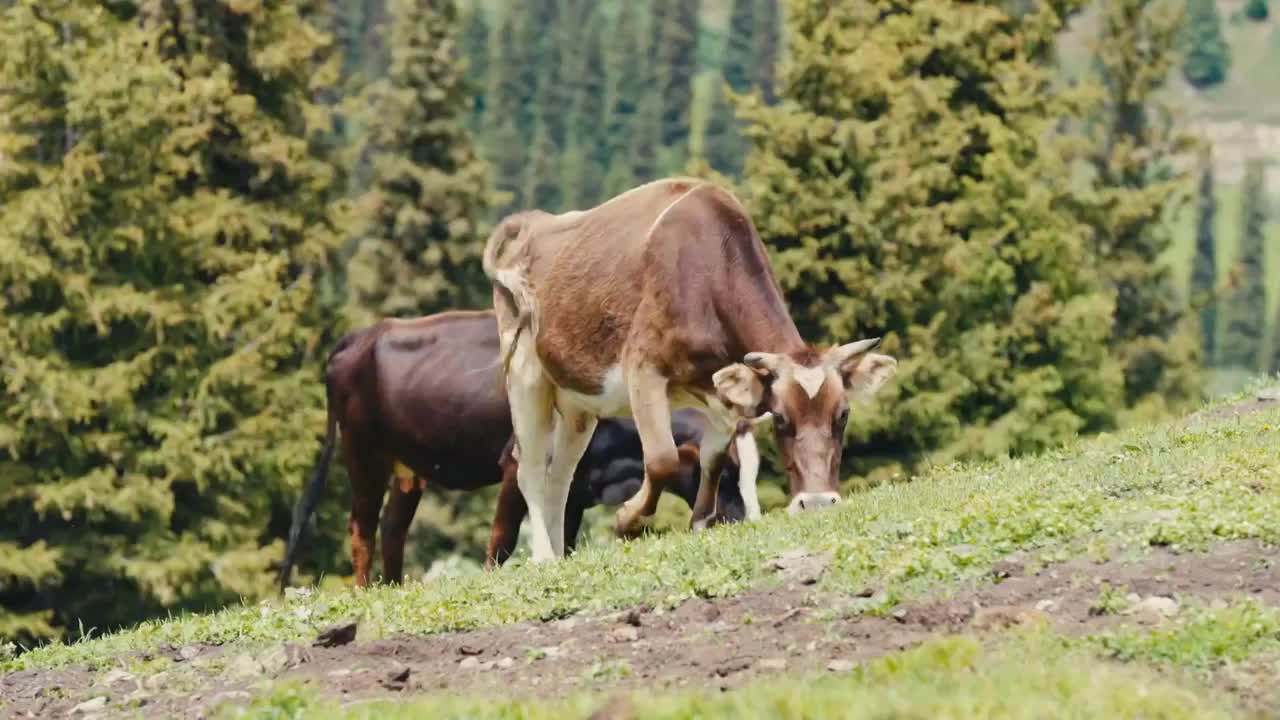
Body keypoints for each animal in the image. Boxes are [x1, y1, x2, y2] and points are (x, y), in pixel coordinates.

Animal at [275, 310, 747, 589]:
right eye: (721, 470)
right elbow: (502, 538)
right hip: (363, 454)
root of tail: (362, 335)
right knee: (362, 528)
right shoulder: (517, 463)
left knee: (392, 530)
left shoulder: (575, 486)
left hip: (408, 469)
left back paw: (394, 588)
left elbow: (563, 537)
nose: (738, 519)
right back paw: (364, 591)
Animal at [481, 176, 901, 563]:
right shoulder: (643, 368)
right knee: (530, 468)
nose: (816, 503)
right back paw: (543, 556)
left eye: (842, 415)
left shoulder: (720, 392)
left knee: (560, 476)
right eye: (780, 419)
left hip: (578, 405)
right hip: (525, 374)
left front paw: (699, 522)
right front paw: (627, 519)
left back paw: (559, 553)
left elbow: (711, 458)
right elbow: (662, 459)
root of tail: (530, 222)